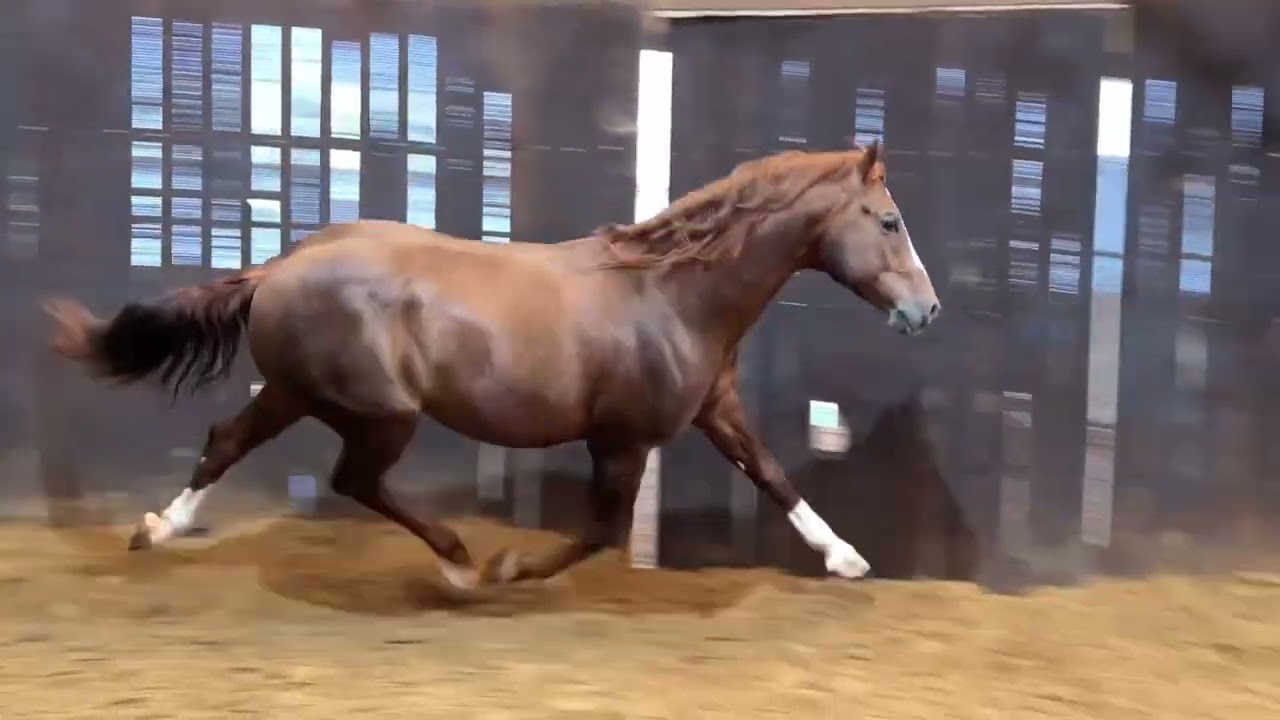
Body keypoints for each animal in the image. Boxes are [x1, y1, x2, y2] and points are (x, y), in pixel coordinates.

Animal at [43, 141, 939, 590]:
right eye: (889, 220)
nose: (925, 311)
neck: (671, 292)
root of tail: (279, 267)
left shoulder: (714, 412)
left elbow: (775, 475)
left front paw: (846, 559)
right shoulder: (621, 439)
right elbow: (599, 531)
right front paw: (510, 566)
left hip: (297, 392)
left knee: (225, 441)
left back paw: (158, 528)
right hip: (379, 412)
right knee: (352, 480)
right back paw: (460, 562)